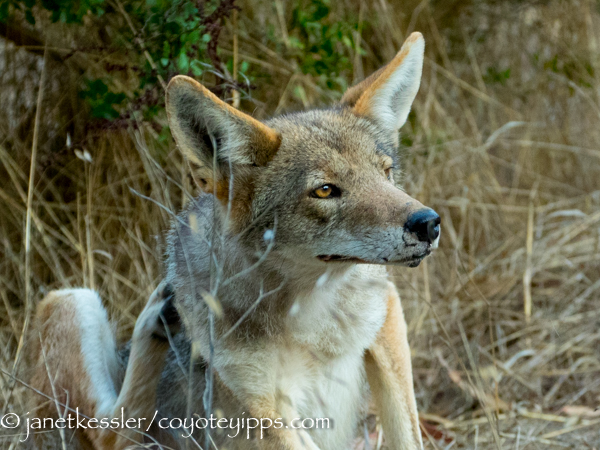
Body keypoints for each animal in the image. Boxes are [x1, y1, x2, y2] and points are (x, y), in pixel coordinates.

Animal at [30, 32, 440, 450]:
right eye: (325, 190)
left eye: (386, 174)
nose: (428, 223)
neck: (313, 310)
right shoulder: (264, 404)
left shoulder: (388, 319)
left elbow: (407, 433)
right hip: (69, 298)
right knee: (108, 432)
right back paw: (155, 317)